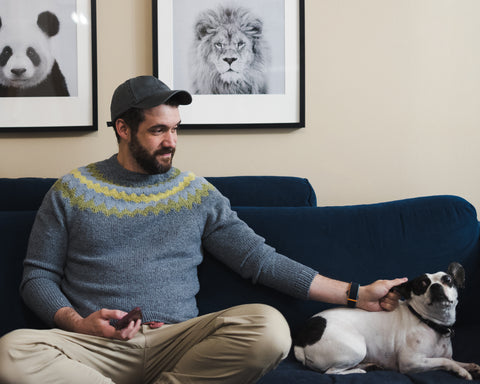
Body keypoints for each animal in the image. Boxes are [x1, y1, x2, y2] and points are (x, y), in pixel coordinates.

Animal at [292, 262, 480, 380]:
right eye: (421, 284)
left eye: (448, 280)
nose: (435, 286)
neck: (431, 322)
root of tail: (300, 340)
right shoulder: (412, 363)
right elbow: (446, 361)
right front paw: (461, 371)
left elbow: (452, 359)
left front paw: (470, 365)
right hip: (356, 347)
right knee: (331, 372)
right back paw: (360, 370)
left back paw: (368, 365)